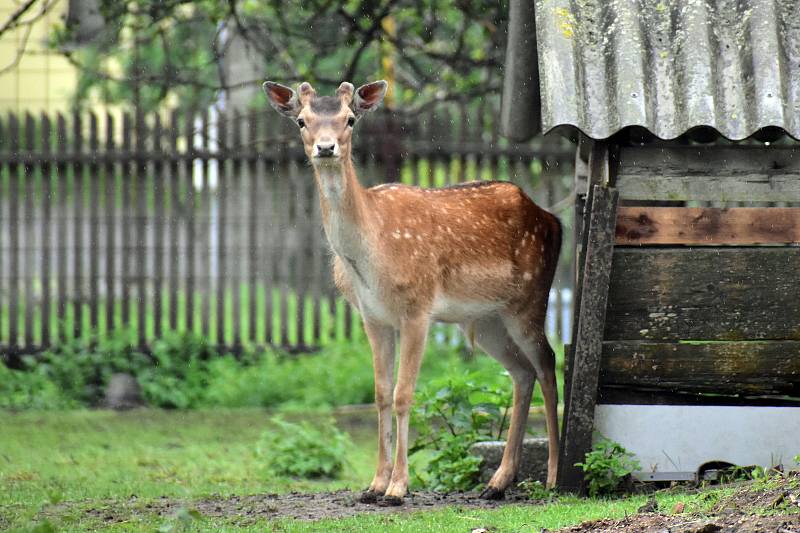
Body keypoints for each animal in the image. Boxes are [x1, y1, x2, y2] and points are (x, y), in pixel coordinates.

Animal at [262, 79, 564, 502]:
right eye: (302, 120)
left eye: (350, 119)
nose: (325, 147)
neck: (370, 256)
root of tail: (552, 218)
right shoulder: (372, 316)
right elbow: (380, 393)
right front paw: (373, 484)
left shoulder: (419, 308)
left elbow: (405, 394)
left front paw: (398, 487)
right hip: (487, 318)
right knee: (522, 373)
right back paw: (498, 481)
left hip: (531, 297)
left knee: (548, 363)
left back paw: (553, 476)